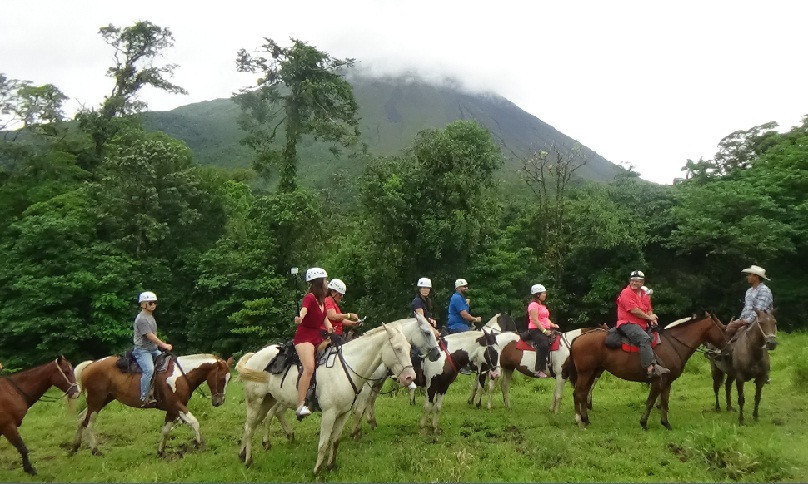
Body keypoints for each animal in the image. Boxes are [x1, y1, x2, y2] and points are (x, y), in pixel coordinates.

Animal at [69, 354, 234, 456]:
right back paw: (95, 450)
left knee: (81, 418)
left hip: (101, 400)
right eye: (221, 378)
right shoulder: (176, 405)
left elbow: (166, 430)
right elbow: (194, 421)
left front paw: (160, 452)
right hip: (96, 401)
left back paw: (74, 447)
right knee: (89, 422)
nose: (219, 401)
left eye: (230, 378)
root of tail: (90, 365)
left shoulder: (172, 409)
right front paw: (200, 445)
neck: (181, 375)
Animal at [235, 322, 414, 472]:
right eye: (398, 348)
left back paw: (244, 454)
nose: (410, 377)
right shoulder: (329, 413)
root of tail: (254, 357)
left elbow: (335, 440)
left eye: (409, 346)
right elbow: (324, 442)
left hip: (268, 400)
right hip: (255, 401)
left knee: (254, 424)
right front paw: (318, 470)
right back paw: (249, 460)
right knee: (250, 427)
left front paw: (331, 466)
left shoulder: (343, 413)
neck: (347, 367)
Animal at [560, 314, 724, 432]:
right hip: (585, 373)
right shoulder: (658, 380)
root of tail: (578, 338)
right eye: (722, 328)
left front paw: (666, 423)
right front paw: (644, 423)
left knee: (583, 394)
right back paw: (579, 421)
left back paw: (586, 419)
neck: (671, 344)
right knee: (578, 394)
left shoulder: (667, 382)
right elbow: (650, 402)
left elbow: (664, 402)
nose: (726, 345)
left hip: (593, 373)